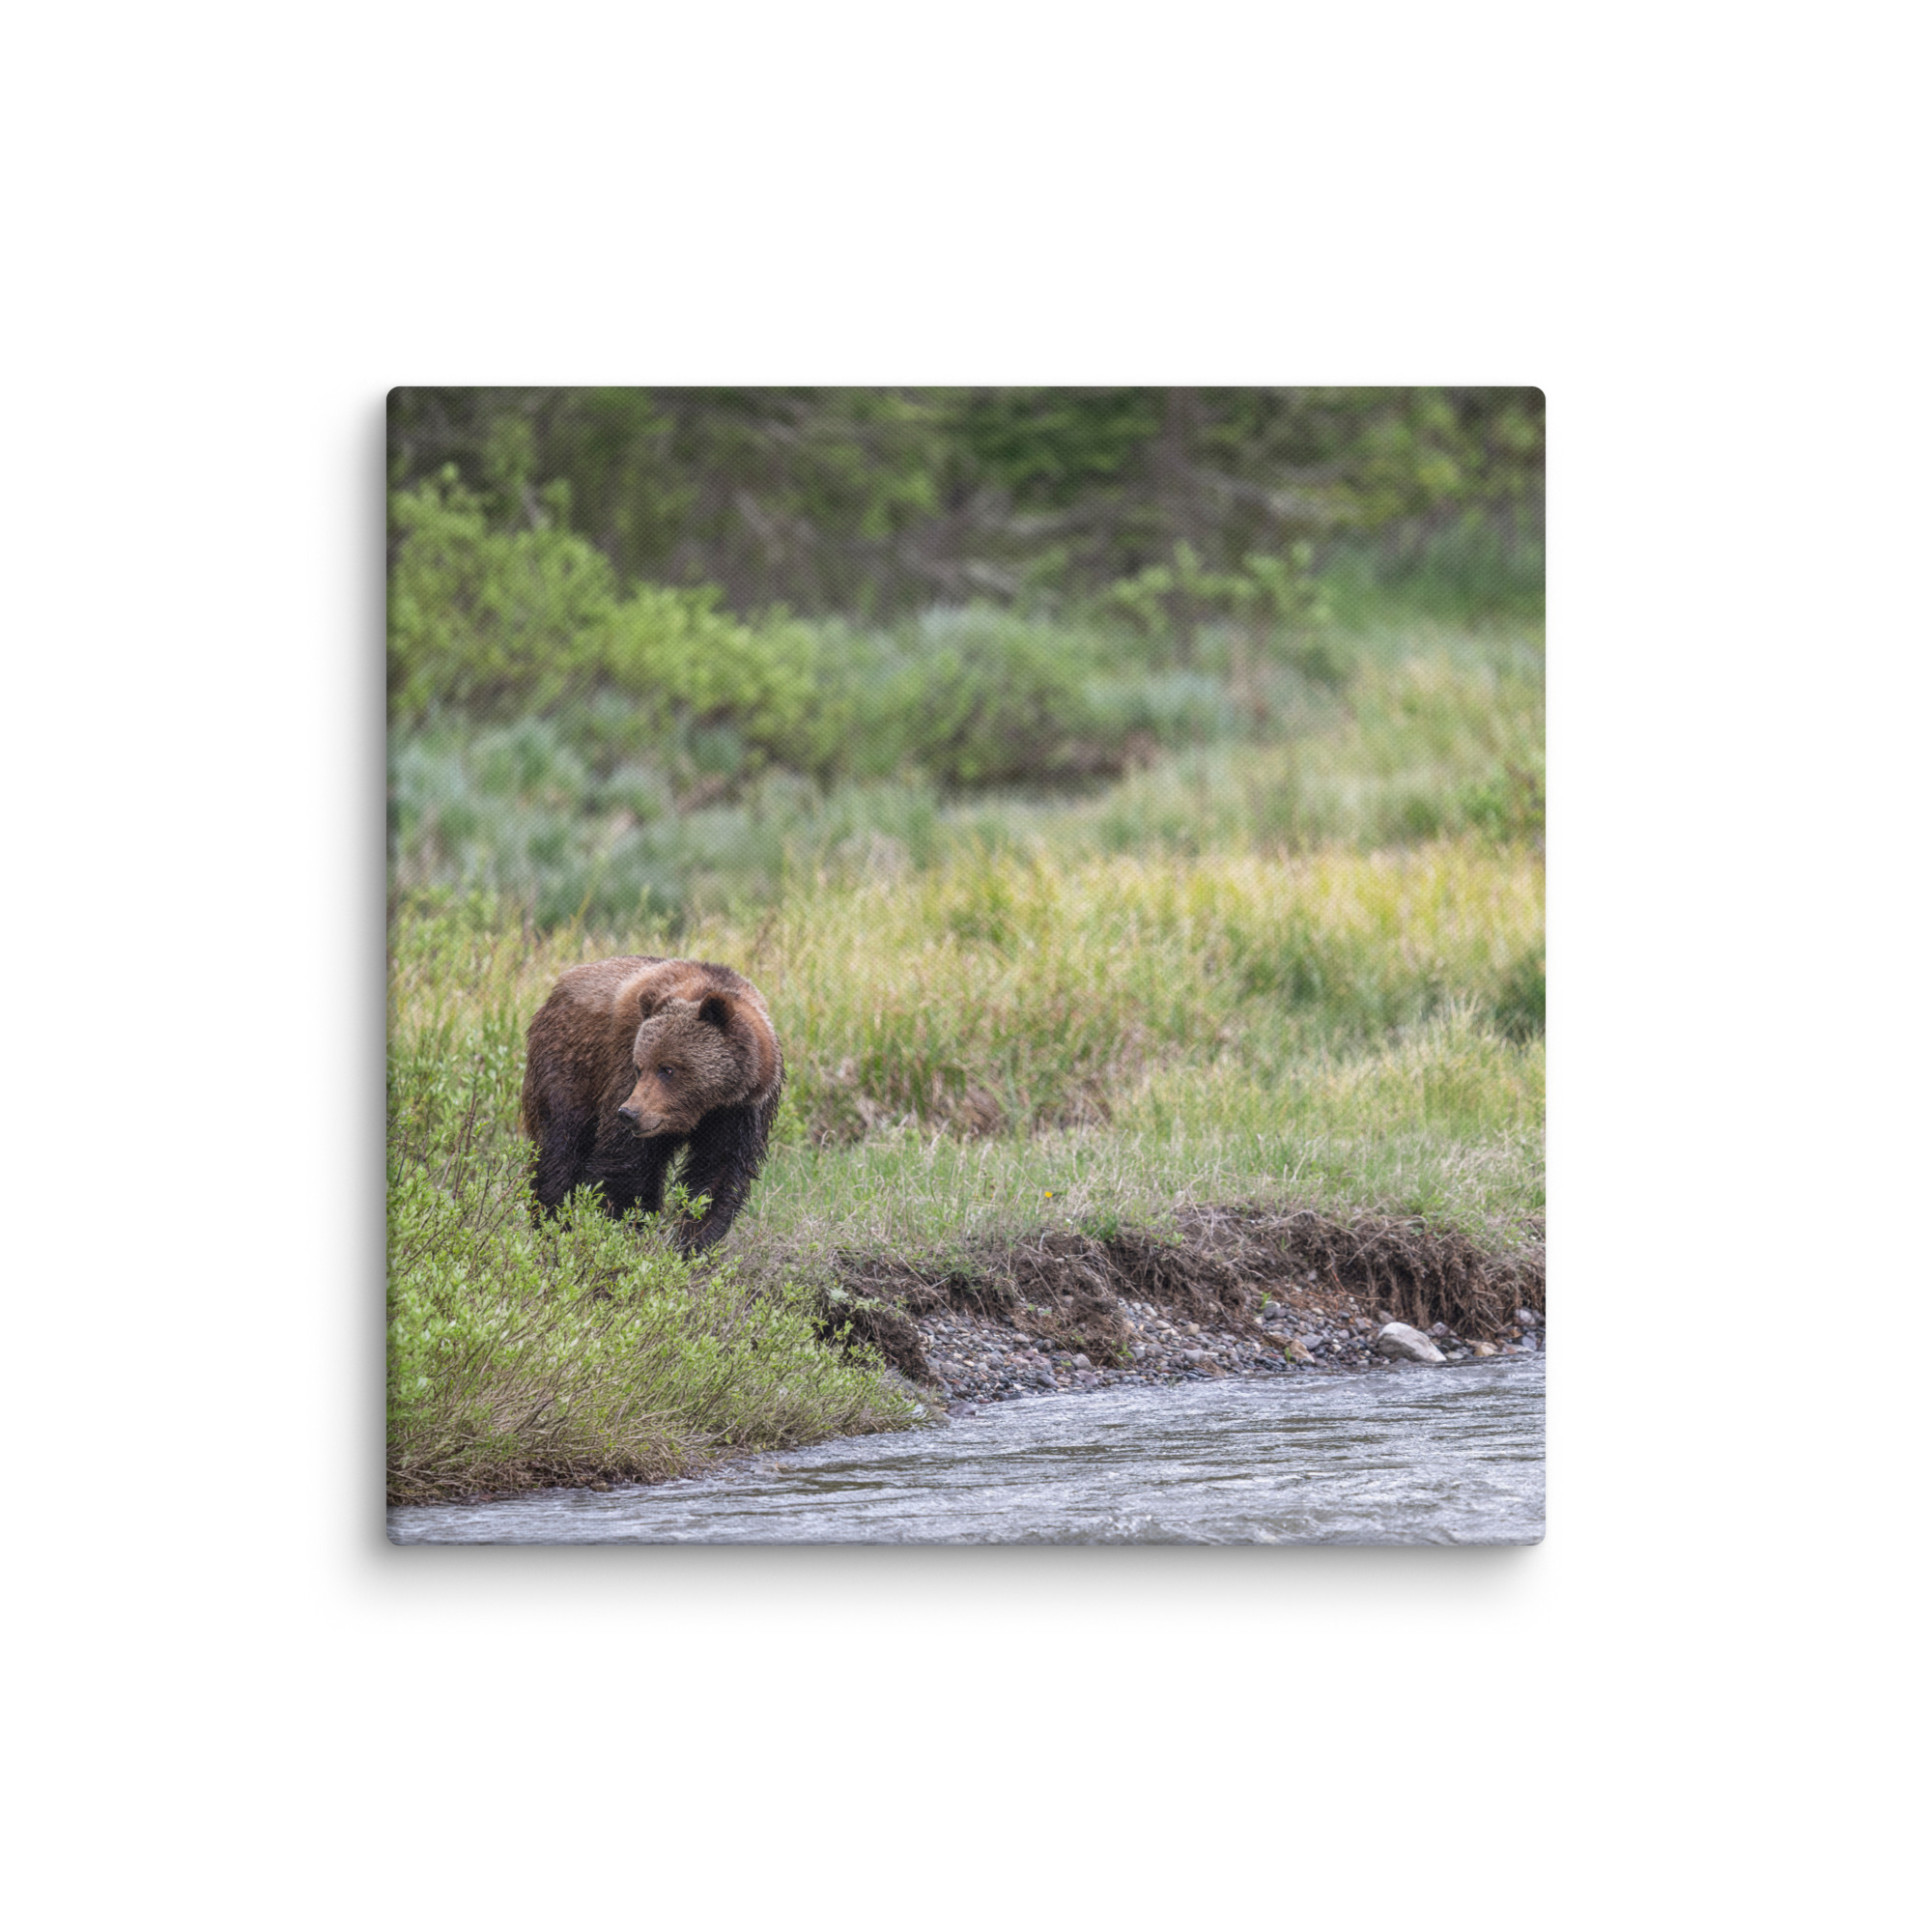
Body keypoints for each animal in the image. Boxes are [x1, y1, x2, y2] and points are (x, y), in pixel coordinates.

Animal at [520, 955, 784, 1251]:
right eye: (640, 1067)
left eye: (667, 1069)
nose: (629, 1114)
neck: (705, 1106)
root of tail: (559, 986)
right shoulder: (623, 1072)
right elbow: (626, 1166)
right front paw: (622, 1231)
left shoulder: (741, 1112)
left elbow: (717, 1175)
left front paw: (693, 1243)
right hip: (569, 1067)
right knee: (559, 1148)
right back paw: (552, 1227)